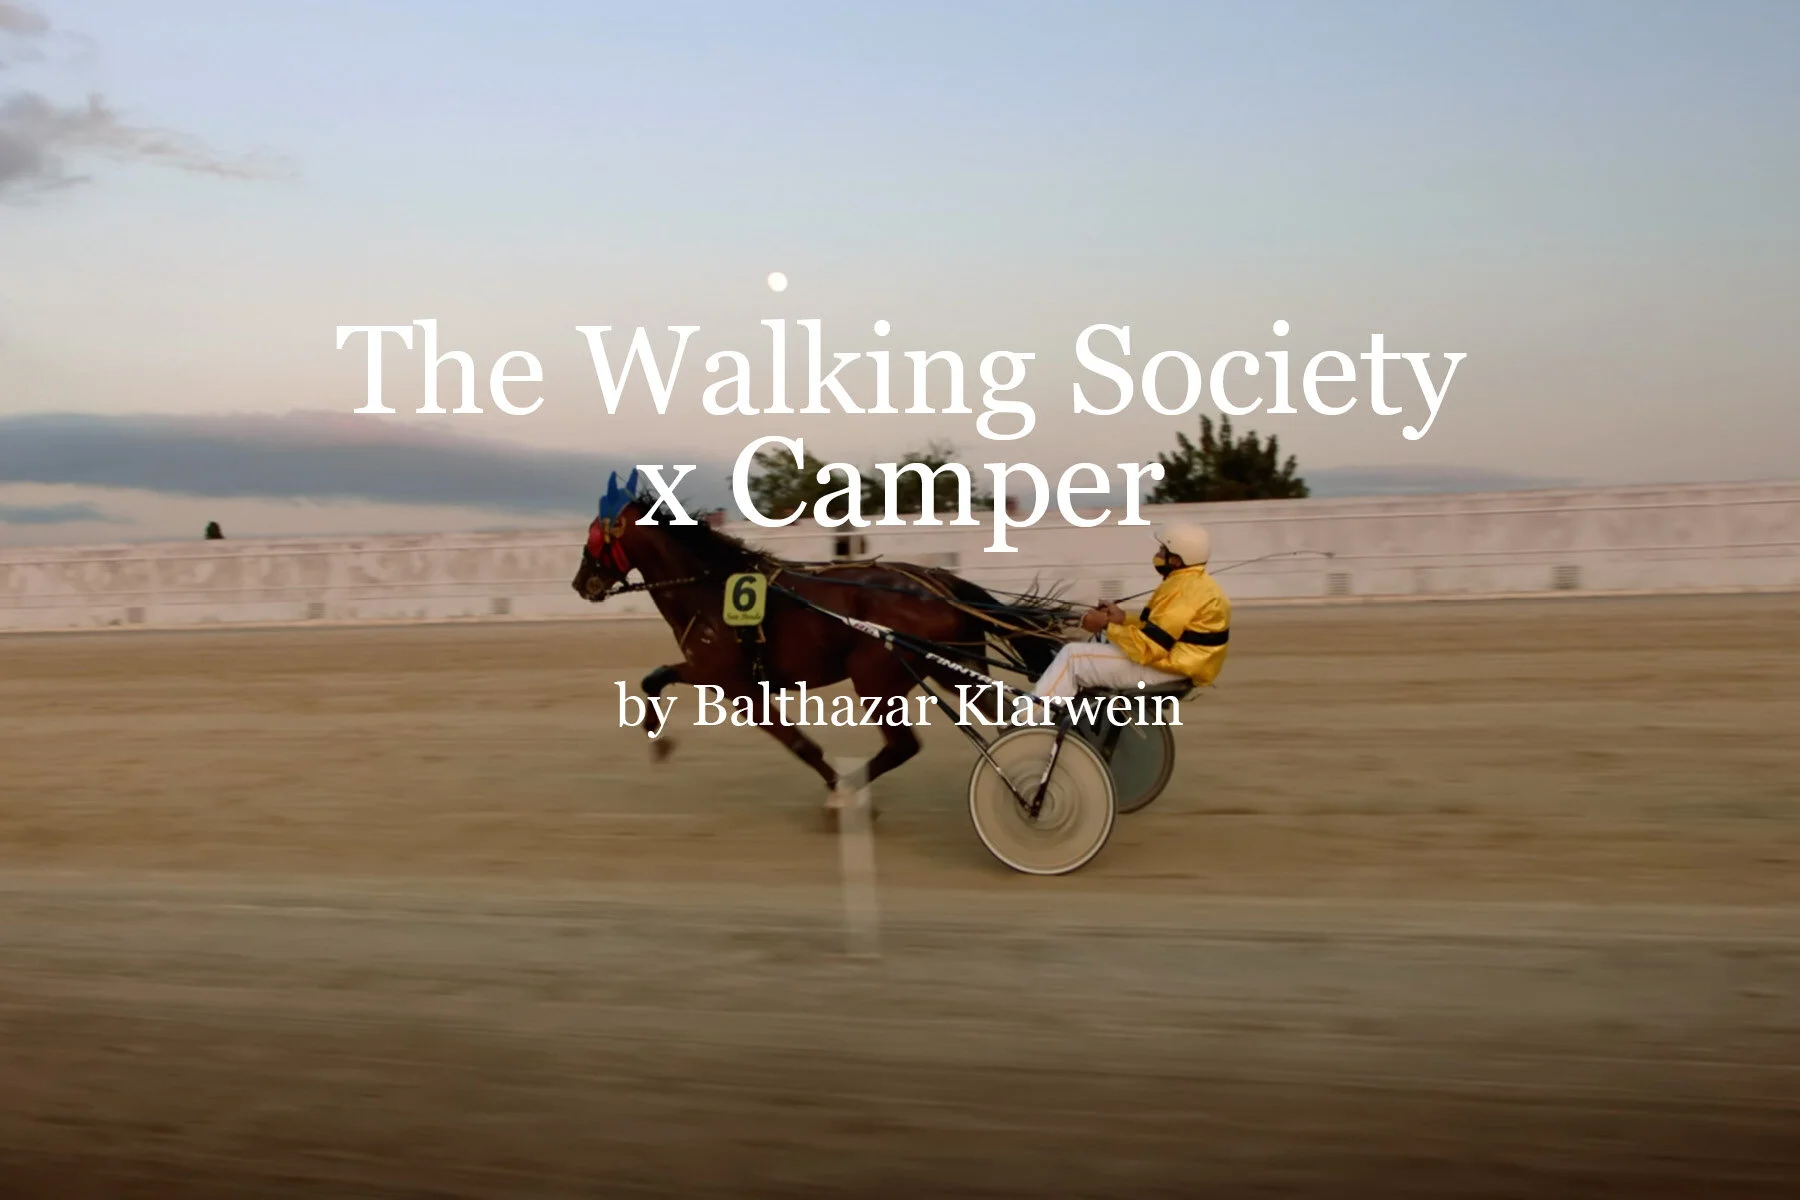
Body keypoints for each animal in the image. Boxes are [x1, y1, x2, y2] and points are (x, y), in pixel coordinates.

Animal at [570, 472, 1070, 800]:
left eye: (593, 539)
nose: (580, 583)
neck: (707, 587)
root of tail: (937, 583)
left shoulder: (732, 682)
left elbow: (797, 743)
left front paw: (834, 784)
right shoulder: (712, 673)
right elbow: (654, 677)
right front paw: (655, 733)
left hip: (876, 678)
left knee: (903, 745)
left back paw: (851, 788)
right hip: (955, 669)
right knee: (1006, 715)